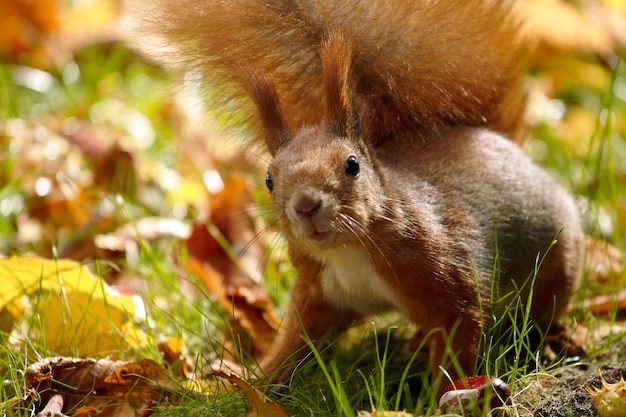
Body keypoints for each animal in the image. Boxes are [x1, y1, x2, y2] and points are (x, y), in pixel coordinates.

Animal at [125, 0, 580, 396]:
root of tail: (499, 141)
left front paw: (445, 398)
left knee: (542, 309)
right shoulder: (319, 295)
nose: (306, 206)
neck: (349, 250)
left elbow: (458, 342)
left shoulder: (449, 277)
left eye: (352, 165)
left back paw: (549, 340)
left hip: (557, 265)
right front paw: (253, 383)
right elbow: (294, 343)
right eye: (269, 179)